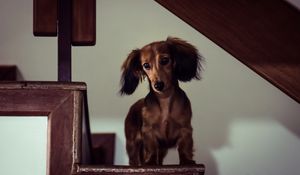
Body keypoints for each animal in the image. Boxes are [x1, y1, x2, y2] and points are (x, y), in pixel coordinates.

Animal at [119, 36, 202, 165]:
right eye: (146, 65)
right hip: (132, 144)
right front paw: (150, 162)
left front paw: (187, 161)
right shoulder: (148, 132)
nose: (158, 85)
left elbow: (184, 147)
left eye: (164, 60)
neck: (164, 99)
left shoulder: (185, 129)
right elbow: (151, 149)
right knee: (134, 159)